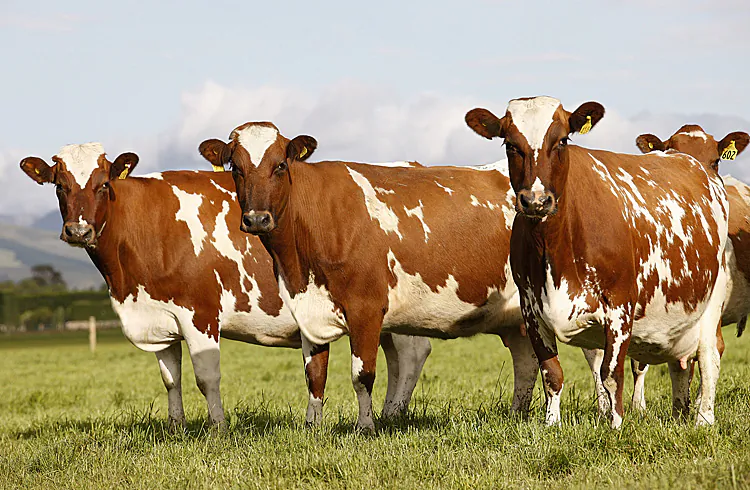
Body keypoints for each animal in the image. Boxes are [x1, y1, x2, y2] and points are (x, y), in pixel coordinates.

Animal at [19, 143, 432, 430]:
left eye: (103, 184)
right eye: (59, 186)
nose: (78, 230)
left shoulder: (199, 312)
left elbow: (206, 377)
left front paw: (217, 428)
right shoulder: (160, 315)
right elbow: (170, 379)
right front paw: (176, 428)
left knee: (412, 355)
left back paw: (391, 415)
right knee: (398, 358)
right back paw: (390, 413)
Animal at [198, 122, 546, 432]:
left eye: (280, 165)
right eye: (235, 168)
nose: (257, 219)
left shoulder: (365, 308)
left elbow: (362, 374)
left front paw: (365, 426)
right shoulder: (307, 309)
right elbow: (315, 375)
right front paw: (312, 427)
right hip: (517, 318)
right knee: (526, 359)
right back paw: (516, 414)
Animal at [466, 97, 729, 428]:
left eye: (562, 141)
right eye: (510, 144)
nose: (536, 201)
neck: (553, 247)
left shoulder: (620, 305)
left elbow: (611, 374)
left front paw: (616, 425)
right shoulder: (531, 308)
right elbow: (552, 373)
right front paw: (552, 424)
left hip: (712, 298)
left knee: (709, 355)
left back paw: (703, 419)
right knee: (681, 365)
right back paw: (679, 413)